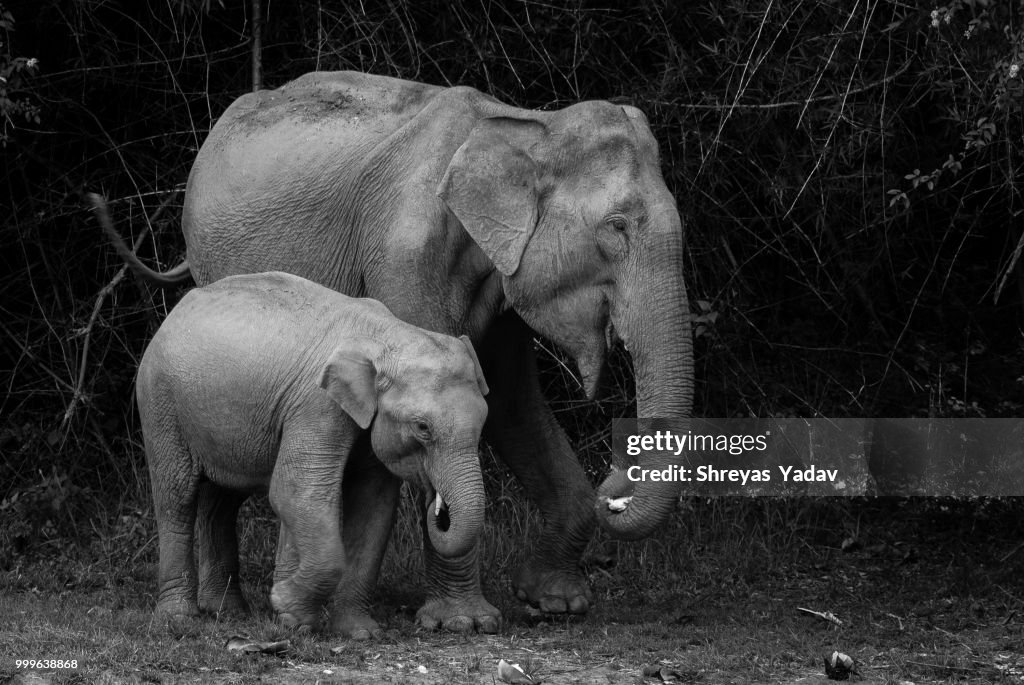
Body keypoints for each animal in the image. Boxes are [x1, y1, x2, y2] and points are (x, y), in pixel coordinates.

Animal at [139, 272, 487, 630]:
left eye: (484, 421)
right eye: (422, 427)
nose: (437, 507)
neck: (388, 334)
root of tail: (178, 308)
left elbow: (373, 505)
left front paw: (356, 631)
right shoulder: (316, 404)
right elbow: (296, 491)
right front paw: (287, 608)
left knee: (222, 500)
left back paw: (227, 611)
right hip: (160, 401)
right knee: (177, 498)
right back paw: (179, 618)